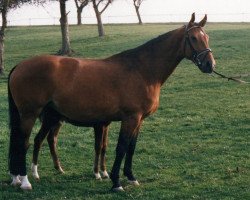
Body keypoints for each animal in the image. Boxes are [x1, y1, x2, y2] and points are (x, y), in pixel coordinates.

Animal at [7, 13, 215, 191]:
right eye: (193, 38)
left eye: (207, 37)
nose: (210, 65)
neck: (142, 70)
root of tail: (20, 65)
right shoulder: (130, 118)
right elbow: (121, 148)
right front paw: (116, 182)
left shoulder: (138, 120)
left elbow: (131, 148)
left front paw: (130, 177)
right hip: (30, 114)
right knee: (23, 143)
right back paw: (25, 181)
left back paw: (17, 178)